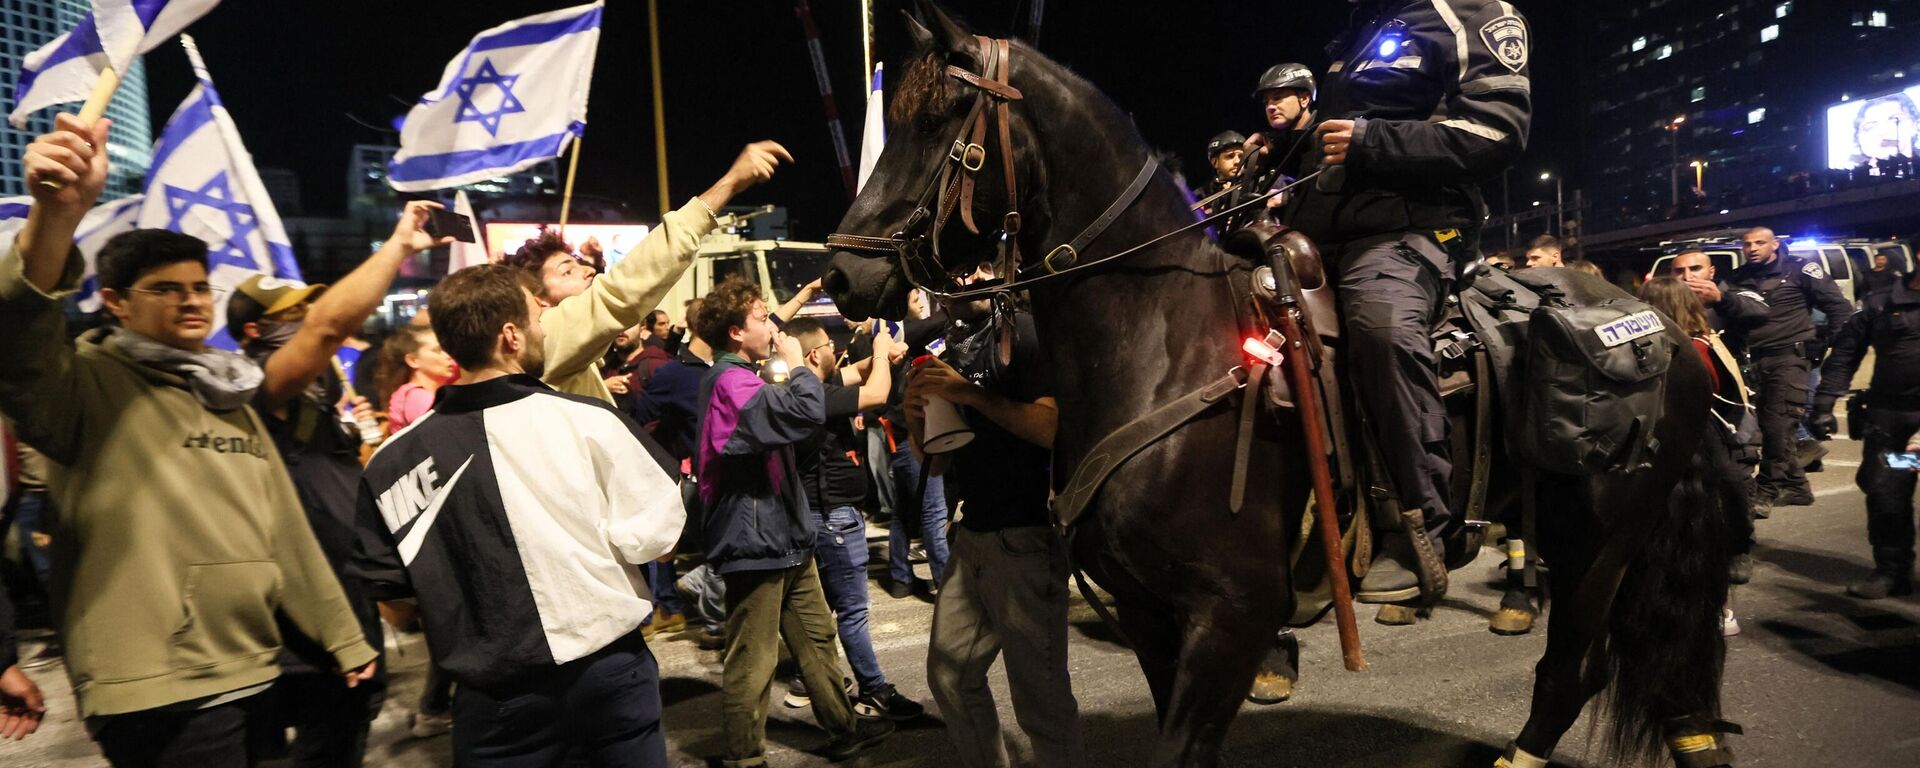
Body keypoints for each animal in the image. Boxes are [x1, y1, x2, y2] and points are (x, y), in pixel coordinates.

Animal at [825, 3, 1743, 764]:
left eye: (939, 120)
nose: (840, 276)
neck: (1163, 345)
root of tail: (1673, 332)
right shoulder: (1154, 616)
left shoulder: (1234, 615)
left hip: (1604, 542)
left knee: (1570, 671)